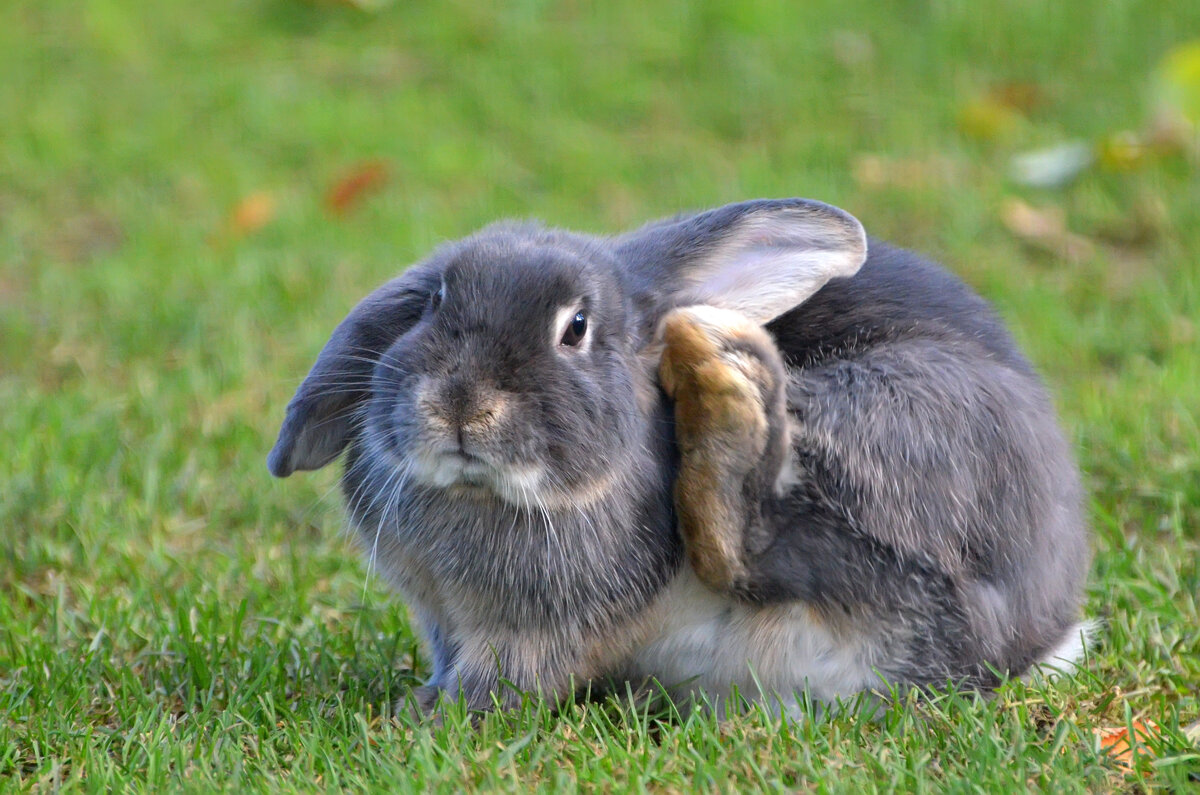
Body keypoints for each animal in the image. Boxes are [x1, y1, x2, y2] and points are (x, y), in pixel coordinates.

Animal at [267, 198, 1094, 715]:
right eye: (435, 301)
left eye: (575, 328)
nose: (463, 404)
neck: (488, 495)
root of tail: (1039, 626)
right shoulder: (444, 619)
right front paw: (421, 702)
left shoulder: (541, 631)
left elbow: (511, 675)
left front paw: (440, 716)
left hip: (902, 422)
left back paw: (721, 391)